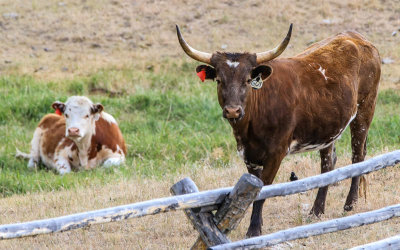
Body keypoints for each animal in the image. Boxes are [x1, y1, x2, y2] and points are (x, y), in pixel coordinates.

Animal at [177, 24, 382, 237]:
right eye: (219, 80)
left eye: (248, 80)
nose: (233, 110)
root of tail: (356, 37)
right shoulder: (249, 156)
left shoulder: (276, 153)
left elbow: (263, 190)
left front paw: (254, 229)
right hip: (328, 128)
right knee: (328, 163)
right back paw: (317, 210)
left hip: (365, 110)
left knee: (357, 156)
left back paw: (350, 204)